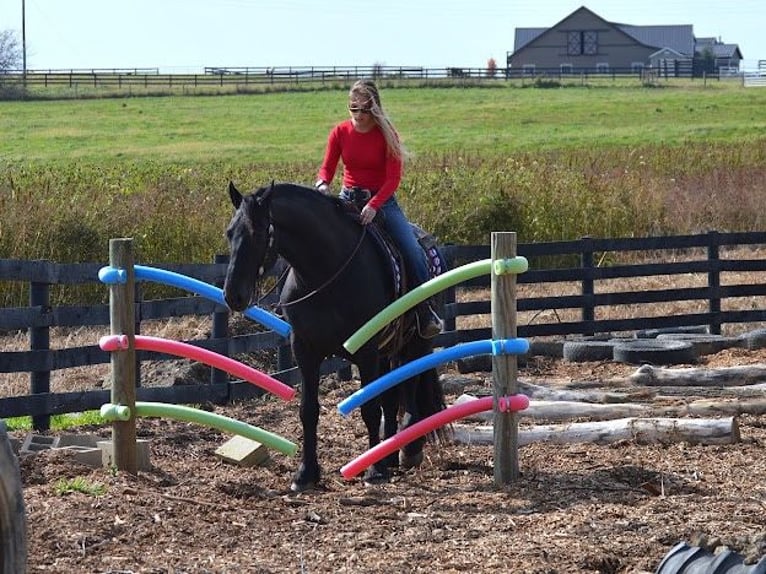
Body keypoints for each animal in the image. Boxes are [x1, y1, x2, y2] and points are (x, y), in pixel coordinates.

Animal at [222, 182, 448, 492]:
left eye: (258, 233)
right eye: (230, 232)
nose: (234, 295)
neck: (325, 272)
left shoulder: (366, 351)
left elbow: (369, 408)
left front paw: (374, 470)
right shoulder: (305, 351)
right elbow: (309, 410)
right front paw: (306, 474)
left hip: (416, 343)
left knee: (410, 389)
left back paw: (407, 450)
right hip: (387, 350)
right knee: (391, 397)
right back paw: (389, 454)